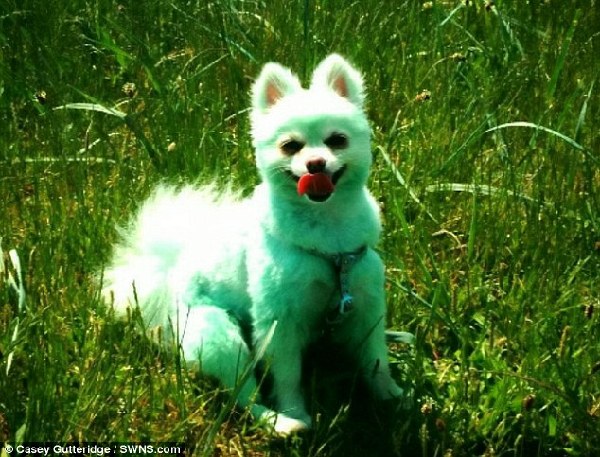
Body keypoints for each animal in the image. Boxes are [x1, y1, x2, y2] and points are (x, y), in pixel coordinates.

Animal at [102, 54, 404, 434]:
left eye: (337, 140)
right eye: (290, 146)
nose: (315, 163)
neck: (326, 233)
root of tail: (171, 274)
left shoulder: (364, 305)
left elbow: (375, 358)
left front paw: (389, 395)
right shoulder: (280, 321)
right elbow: (288, 374)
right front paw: (295, 410)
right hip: (221, 337)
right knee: (242, 395)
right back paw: (281, 423)